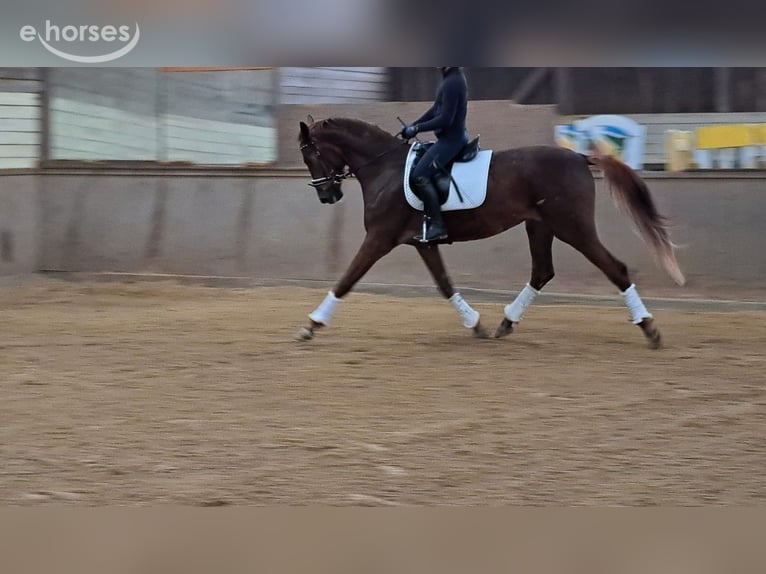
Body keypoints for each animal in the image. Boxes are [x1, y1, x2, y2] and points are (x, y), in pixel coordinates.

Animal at [294, 117, 685, 348]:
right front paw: (476, 324)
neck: (386, 168)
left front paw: (311, 325)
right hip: (540, 226)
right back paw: (505, 323)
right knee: (542, 271)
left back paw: (650, 329)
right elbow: (444, 284)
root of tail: (578, 157)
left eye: (310, 155)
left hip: (572, 227)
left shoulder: (379, 237)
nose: (327, 195)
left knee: (614, 268)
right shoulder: (421, 242)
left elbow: (346, 280)